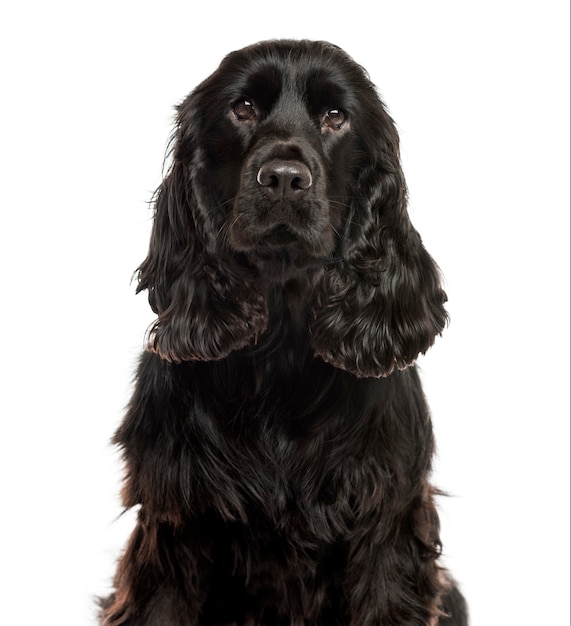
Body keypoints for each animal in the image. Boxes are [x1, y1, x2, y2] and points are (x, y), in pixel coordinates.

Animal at [101, 40, 470, 624]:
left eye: (336, 115)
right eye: (243, 108)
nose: (283, 178)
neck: (281, 349)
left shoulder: (385, 522)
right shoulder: (173, 524)